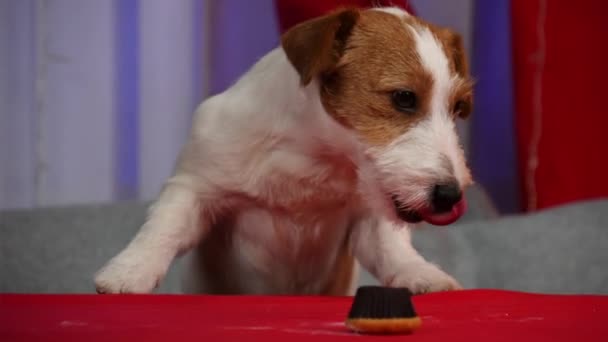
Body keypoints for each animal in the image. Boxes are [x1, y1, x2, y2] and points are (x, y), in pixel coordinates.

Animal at [95, 5, 476, 296]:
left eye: (458, 108)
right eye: (404, 98)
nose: (451, 195)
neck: (314, 158)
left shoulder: (366, 218)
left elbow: (389, 247)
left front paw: (420, 272)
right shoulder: (195, 186)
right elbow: (166, 226)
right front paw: (131, 269)